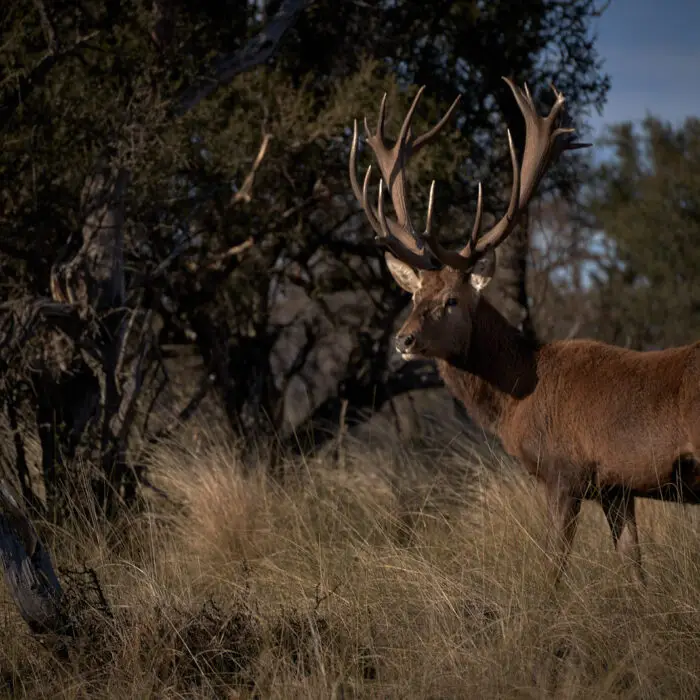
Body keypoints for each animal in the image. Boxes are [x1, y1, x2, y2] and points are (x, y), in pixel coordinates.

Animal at [348, 78, 700, 588]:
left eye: (452, 300)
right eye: (413, 297)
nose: (404, 340)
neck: (518, 399)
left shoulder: (563, 471)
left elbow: (553, 567)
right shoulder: (616, 488)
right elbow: (634, 568)